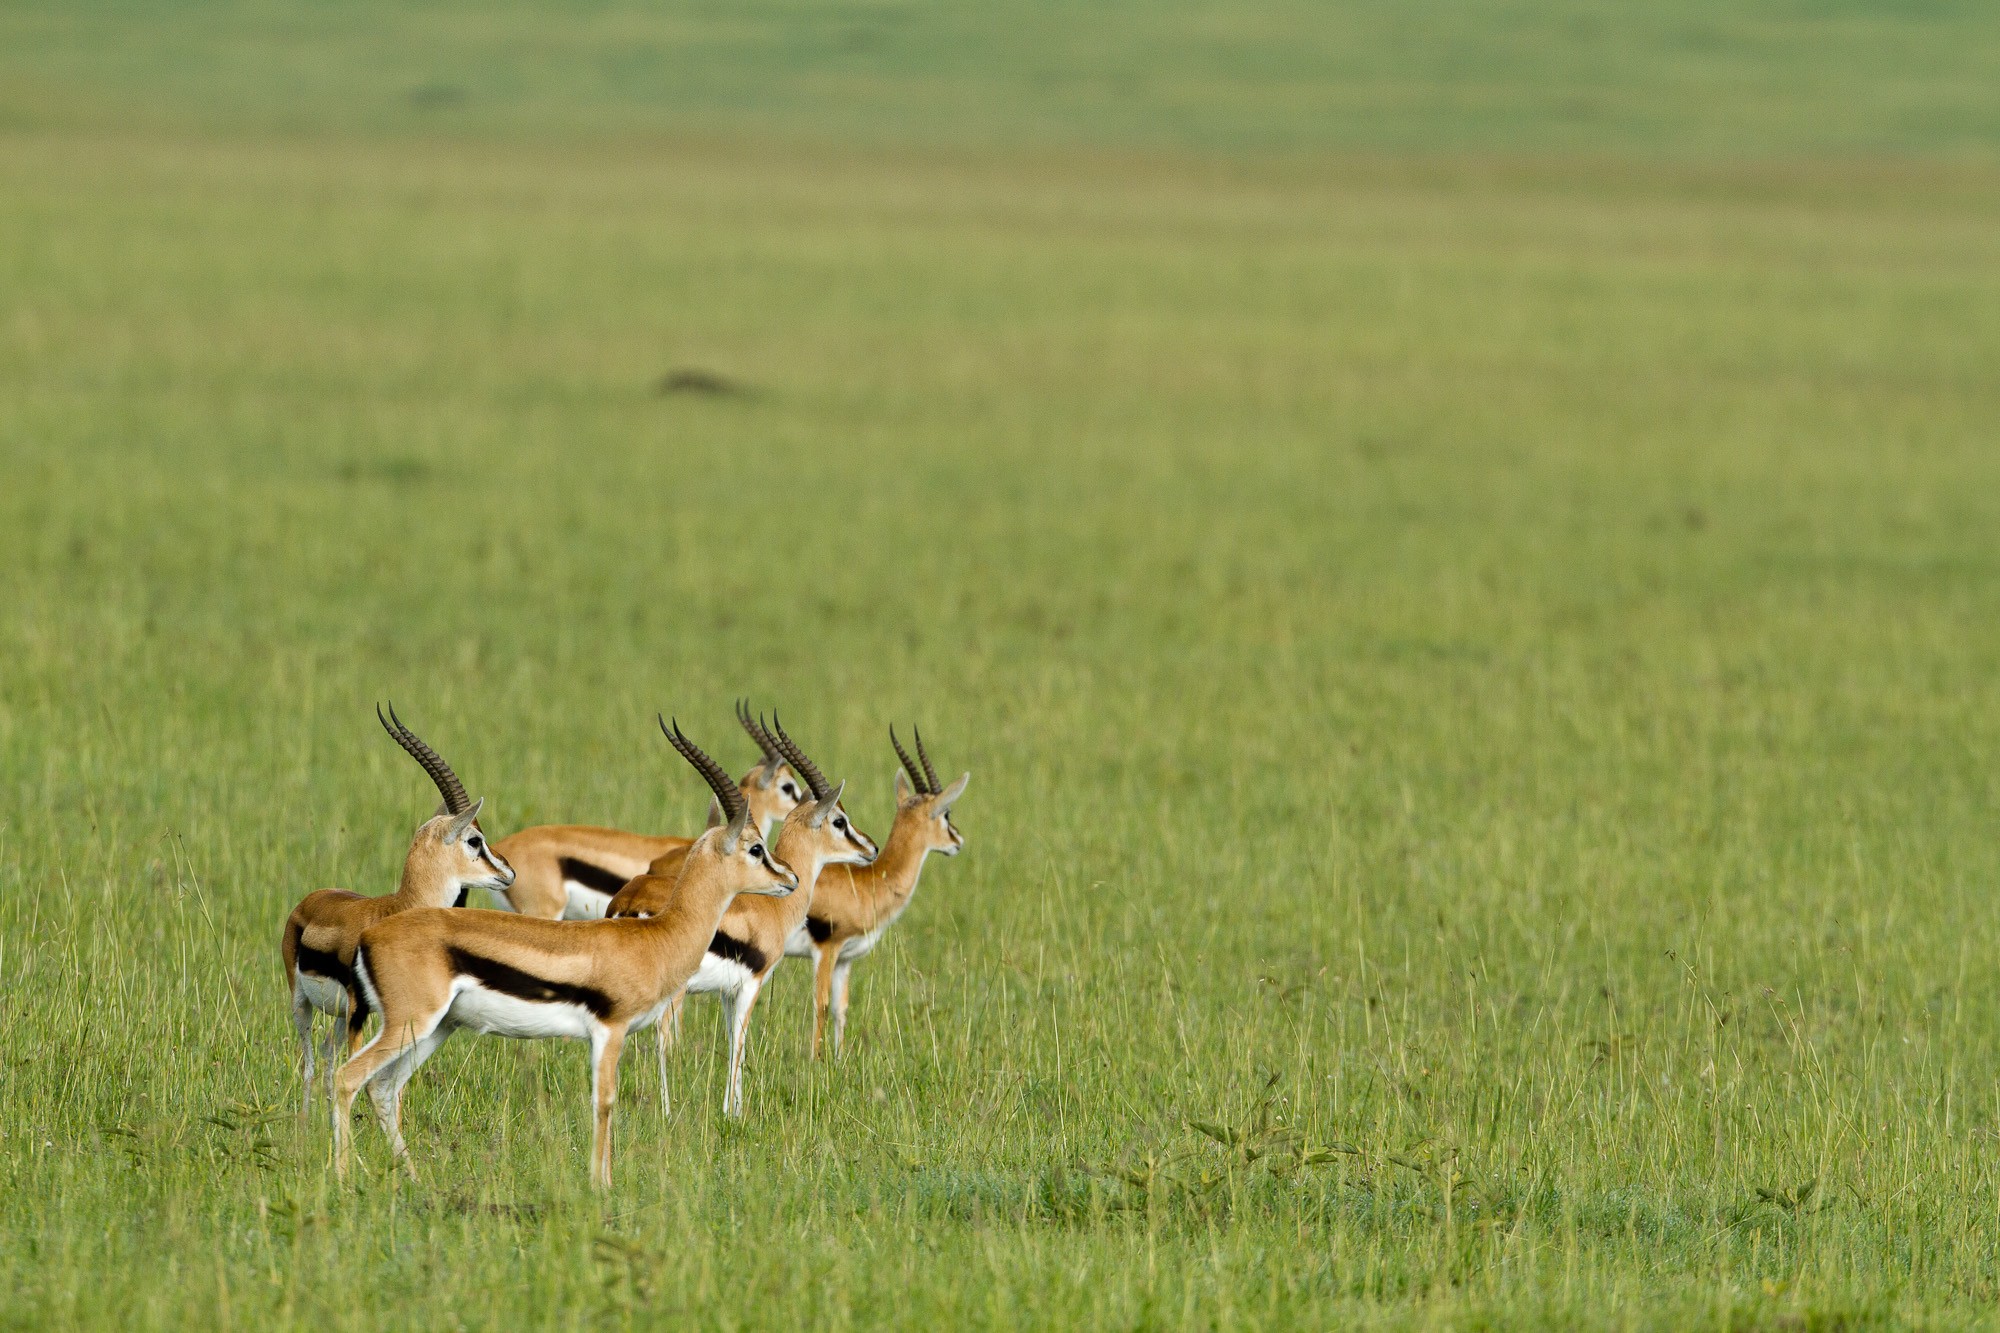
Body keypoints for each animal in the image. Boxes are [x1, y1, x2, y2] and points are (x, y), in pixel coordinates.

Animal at [280, 705, 515, 1122]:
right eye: (475, 840)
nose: (509, 873)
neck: (400, 907)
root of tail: (311, 899)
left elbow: (395, 1085)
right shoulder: (361, 1009)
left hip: (338, 1016)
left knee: (326, 1054)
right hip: (303, 1003)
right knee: (309, 1062)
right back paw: (306, 1128)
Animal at [606, 715, 877, 1117]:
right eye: (839, 821)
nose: (871, 848)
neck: (771, 911)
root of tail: (630, 901)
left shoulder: (725, 991)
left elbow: (732, 1039)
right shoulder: (752, 983)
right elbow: (738, 1041)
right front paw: (731, 1114)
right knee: (661, 1040)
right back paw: (667, 1112)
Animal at [786, 726, 968, 1059]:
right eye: (946, 814)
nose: (957, 841)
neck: (866, 884)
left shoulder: (845, 959)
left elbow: (841, 1009)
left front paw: (838, 1060)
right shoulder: (826, 951)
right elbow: (821, 1006)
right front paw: (815, 1062)